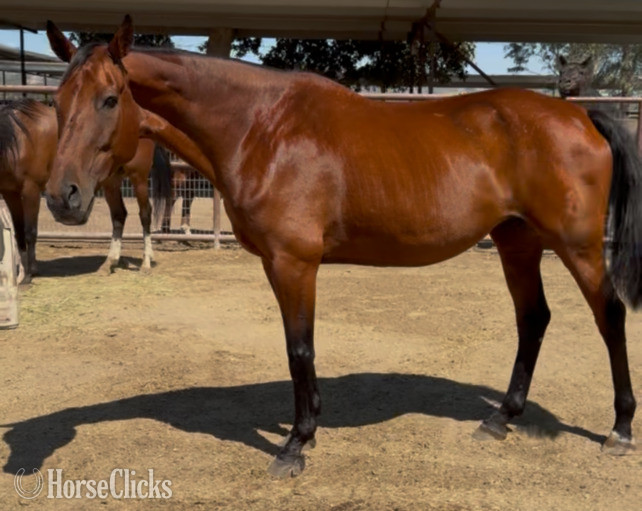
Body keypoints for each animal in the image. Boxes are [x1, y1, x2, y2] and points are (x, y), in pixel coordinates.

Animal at [0, 99, 174, 280]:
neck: (19, 142)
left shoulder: (31, 190)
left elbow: (30, 231)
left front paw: (30, 271)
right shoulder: (10, 193)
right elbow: (18, 231)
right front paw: (21, 274)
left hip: (138, 178)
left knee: (145, 214)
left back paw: (146, 262)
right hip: (111, 181)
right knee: (119, 215)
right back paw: (111, 261)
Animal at [45, 17, 641, 477]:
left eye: (109, 99)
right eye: (56, 100)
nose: (61, 196)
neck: (261, 128)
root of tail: (579, 114)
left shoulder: (293, 263)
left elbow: (299, 350)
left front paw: (295, 444)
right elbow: (299, 349)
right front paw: (307, 431)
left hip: (577, 245)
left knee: (608, 315)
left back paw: (619, 428)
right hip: (517, 240)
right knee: (533, 318)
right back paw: (499, 418)